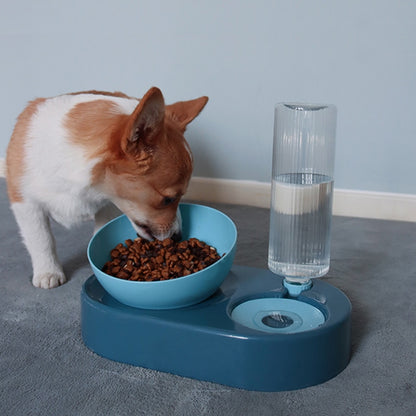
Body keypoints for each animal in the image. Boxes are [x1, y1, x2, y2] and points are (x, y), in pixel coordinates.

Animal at [5, 87, 207, 290]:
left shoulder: (108, 204)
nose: (178, 237)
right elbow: (41, 239)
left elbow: (100, 229)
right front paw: (48, 272)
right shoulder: (26, 204)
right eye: (168, 199)